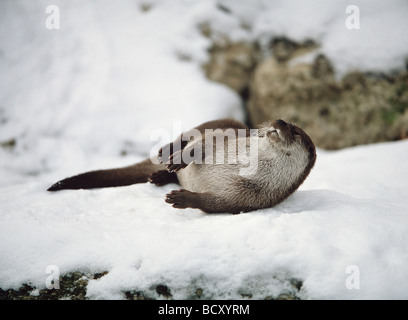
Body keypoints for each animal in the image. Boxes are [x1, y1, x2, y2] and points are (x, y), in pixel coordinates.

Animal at [47, 119, 316, 214]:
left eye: (295, 130)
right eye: (284, 120)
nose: (278, 121)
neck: (240, 165)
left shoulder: (247, 199)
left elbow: (213, 204)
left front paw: (182, 198)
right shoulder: (223, 142)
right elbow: (201, 144)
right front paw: (179, 159)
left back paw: (158, 177)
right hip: (220, 123)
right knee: (188, 134)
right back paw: (166, 153)